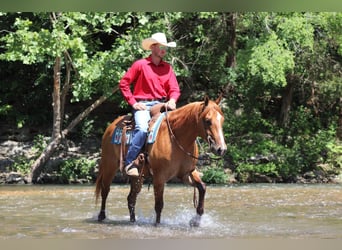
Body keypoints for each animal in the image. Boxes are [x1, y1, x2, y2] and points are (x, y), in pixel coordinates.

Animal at [94, 95, 227, 227]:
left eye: (222, 120)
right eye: (207, 120)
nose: (221, 149)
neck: (176, 137)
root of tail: (111, 126)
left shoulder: (186, 173)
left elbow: (202, 187)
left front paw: (196, 220)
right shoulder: (159, 177)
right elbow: (159, 205)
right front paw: (157, 224)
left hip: (137, 177)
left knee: (131, 198)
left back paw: (133, 220)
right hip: (109, 166)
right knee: (105, 190)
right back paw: (101, 216)